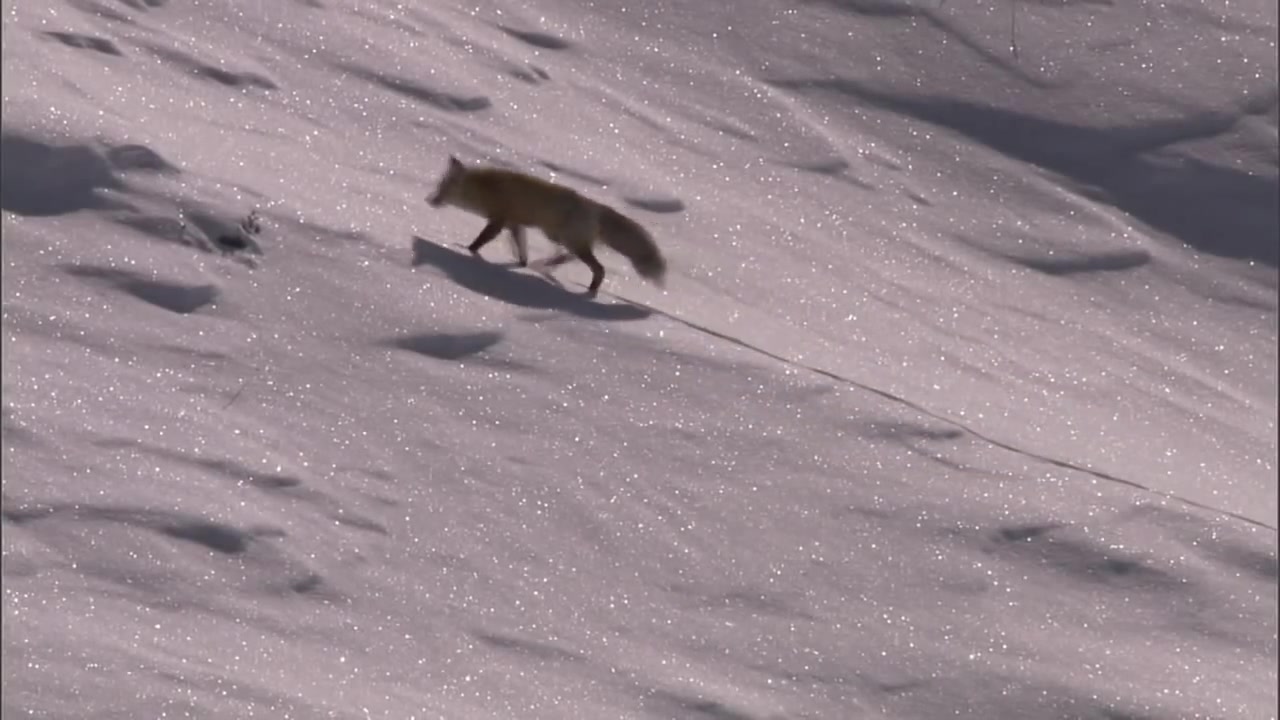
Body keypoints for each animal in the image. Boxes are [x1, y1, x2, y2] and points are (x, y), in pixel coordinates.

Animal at [430, 155, 670, 294]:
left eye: (443, 190)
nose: (429, 200)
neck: (485, 189)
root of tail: (595, 207)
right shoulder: (515, 224)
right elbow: (521, 251)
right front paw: (520, 265)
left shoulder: (498, 220)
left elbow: (479, 241)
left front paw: (466, 251)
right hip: (559, 237)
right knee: (572, 258)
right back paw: (548, 267)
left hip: (569, 240)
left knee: (598, 268)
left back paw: (588, 292)